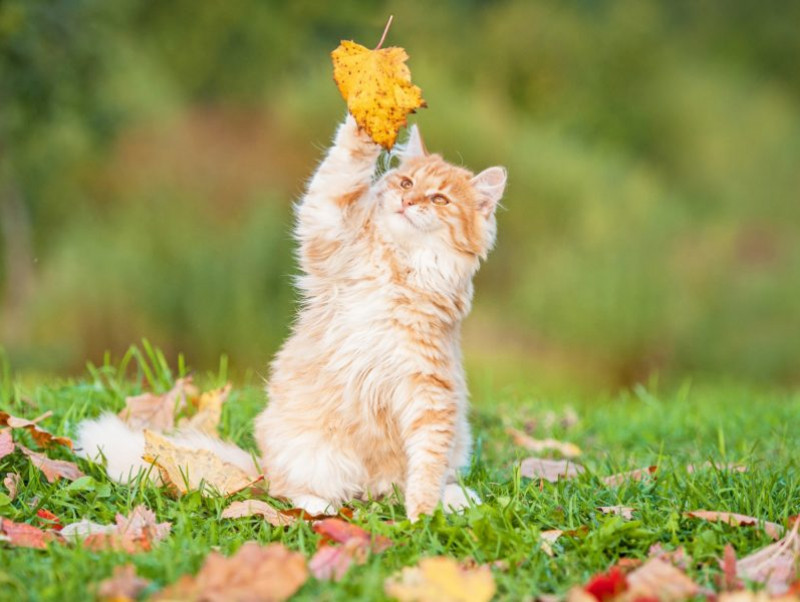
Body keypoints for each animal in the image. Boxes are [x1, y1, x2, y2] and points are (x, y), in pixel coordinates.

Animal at [73, 113, 500, 520]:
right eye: (406, 182)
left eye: (440, 199)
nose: (409, 202)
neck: (401, 266)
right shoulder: (328, 225)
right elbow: (341, 167)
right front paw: (369, 116)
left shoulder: (430, 389)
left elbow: (427, 465)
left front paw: (422, 514)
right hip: (309, 453)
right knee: (288, 491)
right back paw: (319, 507)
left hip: (452, 442)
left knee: (401, 486)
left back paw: (454, 500)